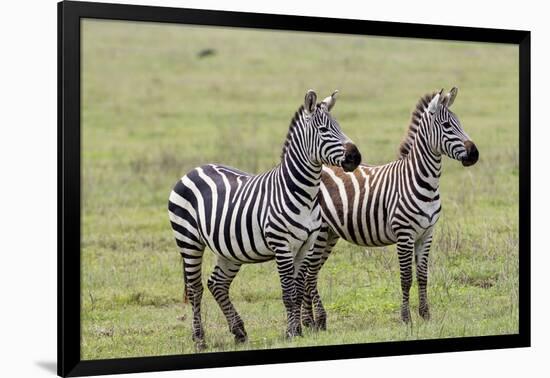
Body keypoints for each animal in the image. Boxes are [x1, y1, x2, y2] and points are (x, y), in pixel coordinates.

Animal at [168, 89, 362, 348]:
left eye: (339, 127)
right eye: (324, 130)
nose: (355, 157)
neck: (304, 193)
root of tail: (194, 169)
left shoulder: (306, 245)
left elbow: (298, 290)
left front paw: (298, 330)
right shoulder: (282, 245)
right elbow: (289, 293)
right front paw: (291, 333)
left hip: (229, 249)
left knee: (217, 284)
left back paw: (239, 331)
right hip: (188, 240)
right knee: (195, 288)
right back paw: (200, 339)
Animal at [304, 87, 480, 330]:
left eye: (459, 123)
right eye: (446, 126)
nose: (474, 154)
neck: (422, 180)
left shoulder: (426, 234)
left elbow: (423, 275)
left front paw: (426, 315)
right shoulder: (405, 234)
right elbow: (406, 277)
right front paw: (406, 319)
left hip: (329, 234)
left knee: (307, 274)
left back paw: (308, 322)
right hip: (319, 234)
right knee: (308, 274)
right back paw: (313, 321)